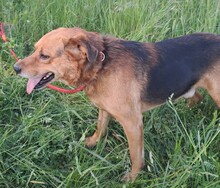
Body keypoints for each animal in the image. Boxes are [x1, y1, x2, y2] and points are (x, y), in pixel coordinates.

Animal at [13, 27, 220, 181]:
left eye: (44, 56)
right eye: (35, 49)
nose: (15, 68)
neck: (101, 66)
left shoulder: (133, 123)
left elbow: (136, 156)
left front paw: (133, 178)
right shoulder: (104, 109)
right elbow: (100, 127)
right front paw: (92, 142)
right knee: (196, 98)